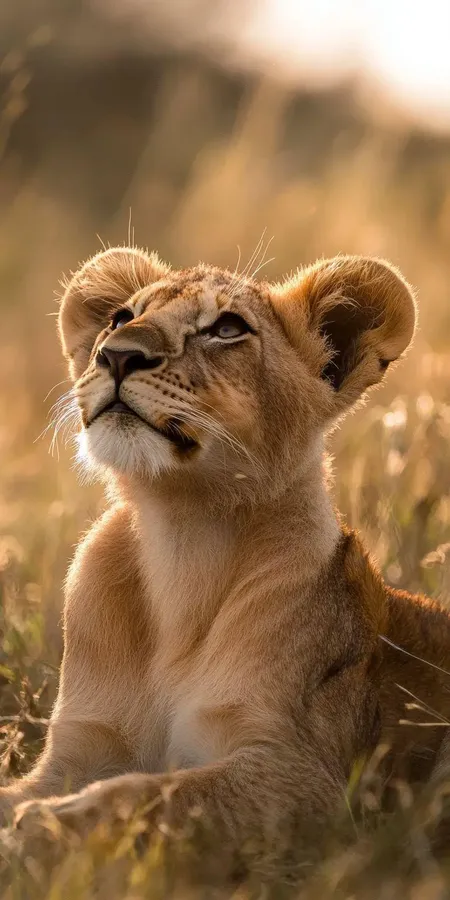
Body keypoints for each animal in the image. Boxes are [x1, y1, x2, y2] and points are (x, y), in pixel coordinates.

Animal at [2, 248, 450, 877]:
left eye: (227, 328)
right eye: (121, 318)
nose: (117, 354)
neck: (182, 538)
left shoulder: (311, 784)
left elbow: (161, 795)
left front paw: (43, 829)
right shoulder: (77, 750)